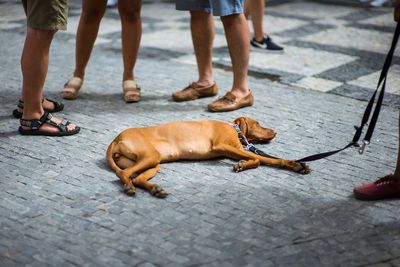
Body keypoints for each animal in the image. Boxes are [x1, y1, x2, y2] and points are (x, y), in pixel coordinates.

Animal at [106, 118, 310, 199]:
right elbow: (262, 159)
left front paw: (243, 165)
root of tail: (116, 138)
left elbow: (259, 159)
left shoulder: (231, 150)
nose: (275, 132)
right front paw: (293, 164)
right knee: (124, 174)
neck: (233, 127)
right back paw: (129, 187)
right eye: (258, 123)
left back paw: (155, 189)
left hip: (153, 162)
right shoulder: (222, 146)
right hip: (149, 156)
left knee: (137, 178)